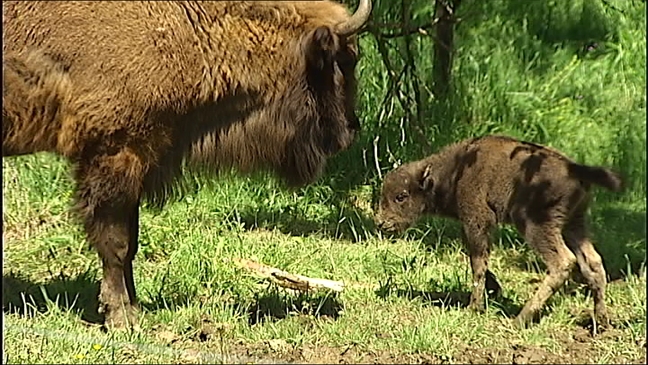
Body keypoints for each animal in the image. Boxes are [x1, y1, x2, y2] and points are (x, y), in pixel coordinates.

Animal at [2, 0, 372, 328]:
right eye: (344, 59)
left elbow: (131, 242)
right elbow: (116, 242)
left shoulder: (139, 159)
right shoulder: (115, 153)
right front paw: (121, 317)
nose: (351, 129)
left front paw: (134, 307)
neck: (191, 28)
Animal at [374, 134, 624, 328]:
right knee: (593, 262)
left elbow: (477, 263)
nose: (381, 223)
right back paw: (600, 322)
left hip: (536, 225)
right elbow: (478, 259)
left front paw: (474, 307)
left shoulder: (477, 221)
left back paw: (520, 319)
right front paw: (494, 290)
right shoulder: (472, 226)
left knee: (563, 262)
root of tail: (575, 169)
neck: (454, 170)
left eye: (401, 196)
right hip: (574, 225)